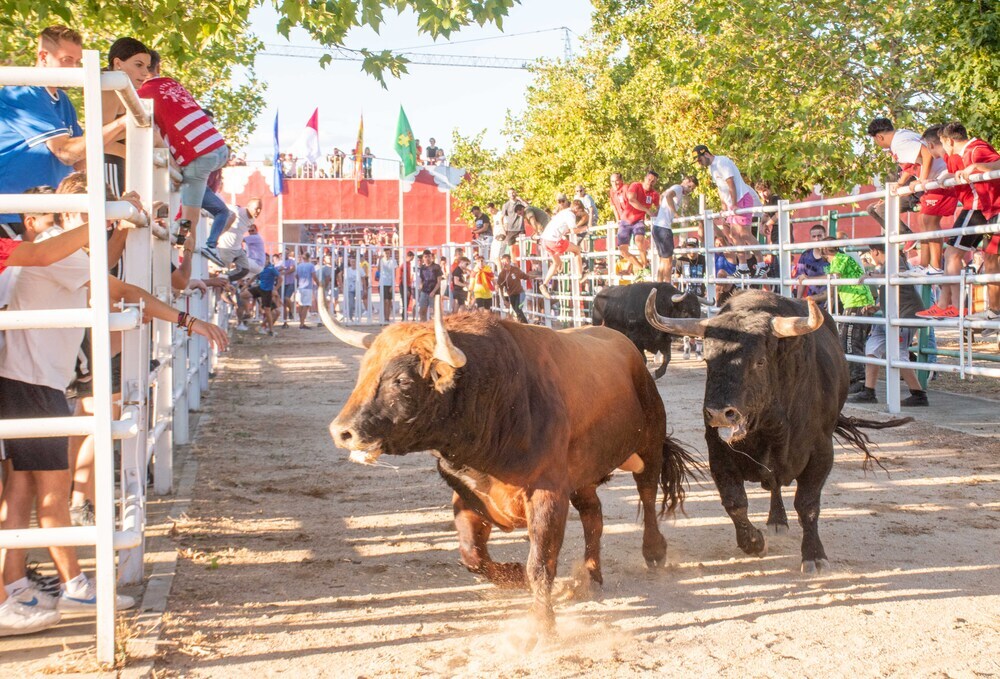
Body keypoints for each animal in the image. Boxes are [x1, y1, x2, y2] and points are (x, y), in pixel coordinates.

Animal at [324, 294, 700, 636]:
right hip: (582, 477)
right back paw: (591, 575)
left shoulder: (548, 494)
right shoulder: (468, 494)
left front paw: (542, 627)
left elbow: (541, 564)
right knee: (594, 516)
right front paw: (513, 575)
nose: (342, 431)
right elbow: (472, 555)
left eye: (401, 380)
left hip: (649, 444)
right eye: (364, 371)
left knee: (647, 494)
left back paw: (653, 551)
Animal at [644, 288, 912, 572]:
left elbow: (807, 504)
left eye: (759, 362)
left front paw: (814, 555)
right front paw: (753, 542)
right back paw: (776, 520)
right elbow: (735, 502)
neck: (769, 428)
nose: (718, 413)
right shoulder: (717, 452)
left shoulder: (821, 453)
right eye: (708, 359)